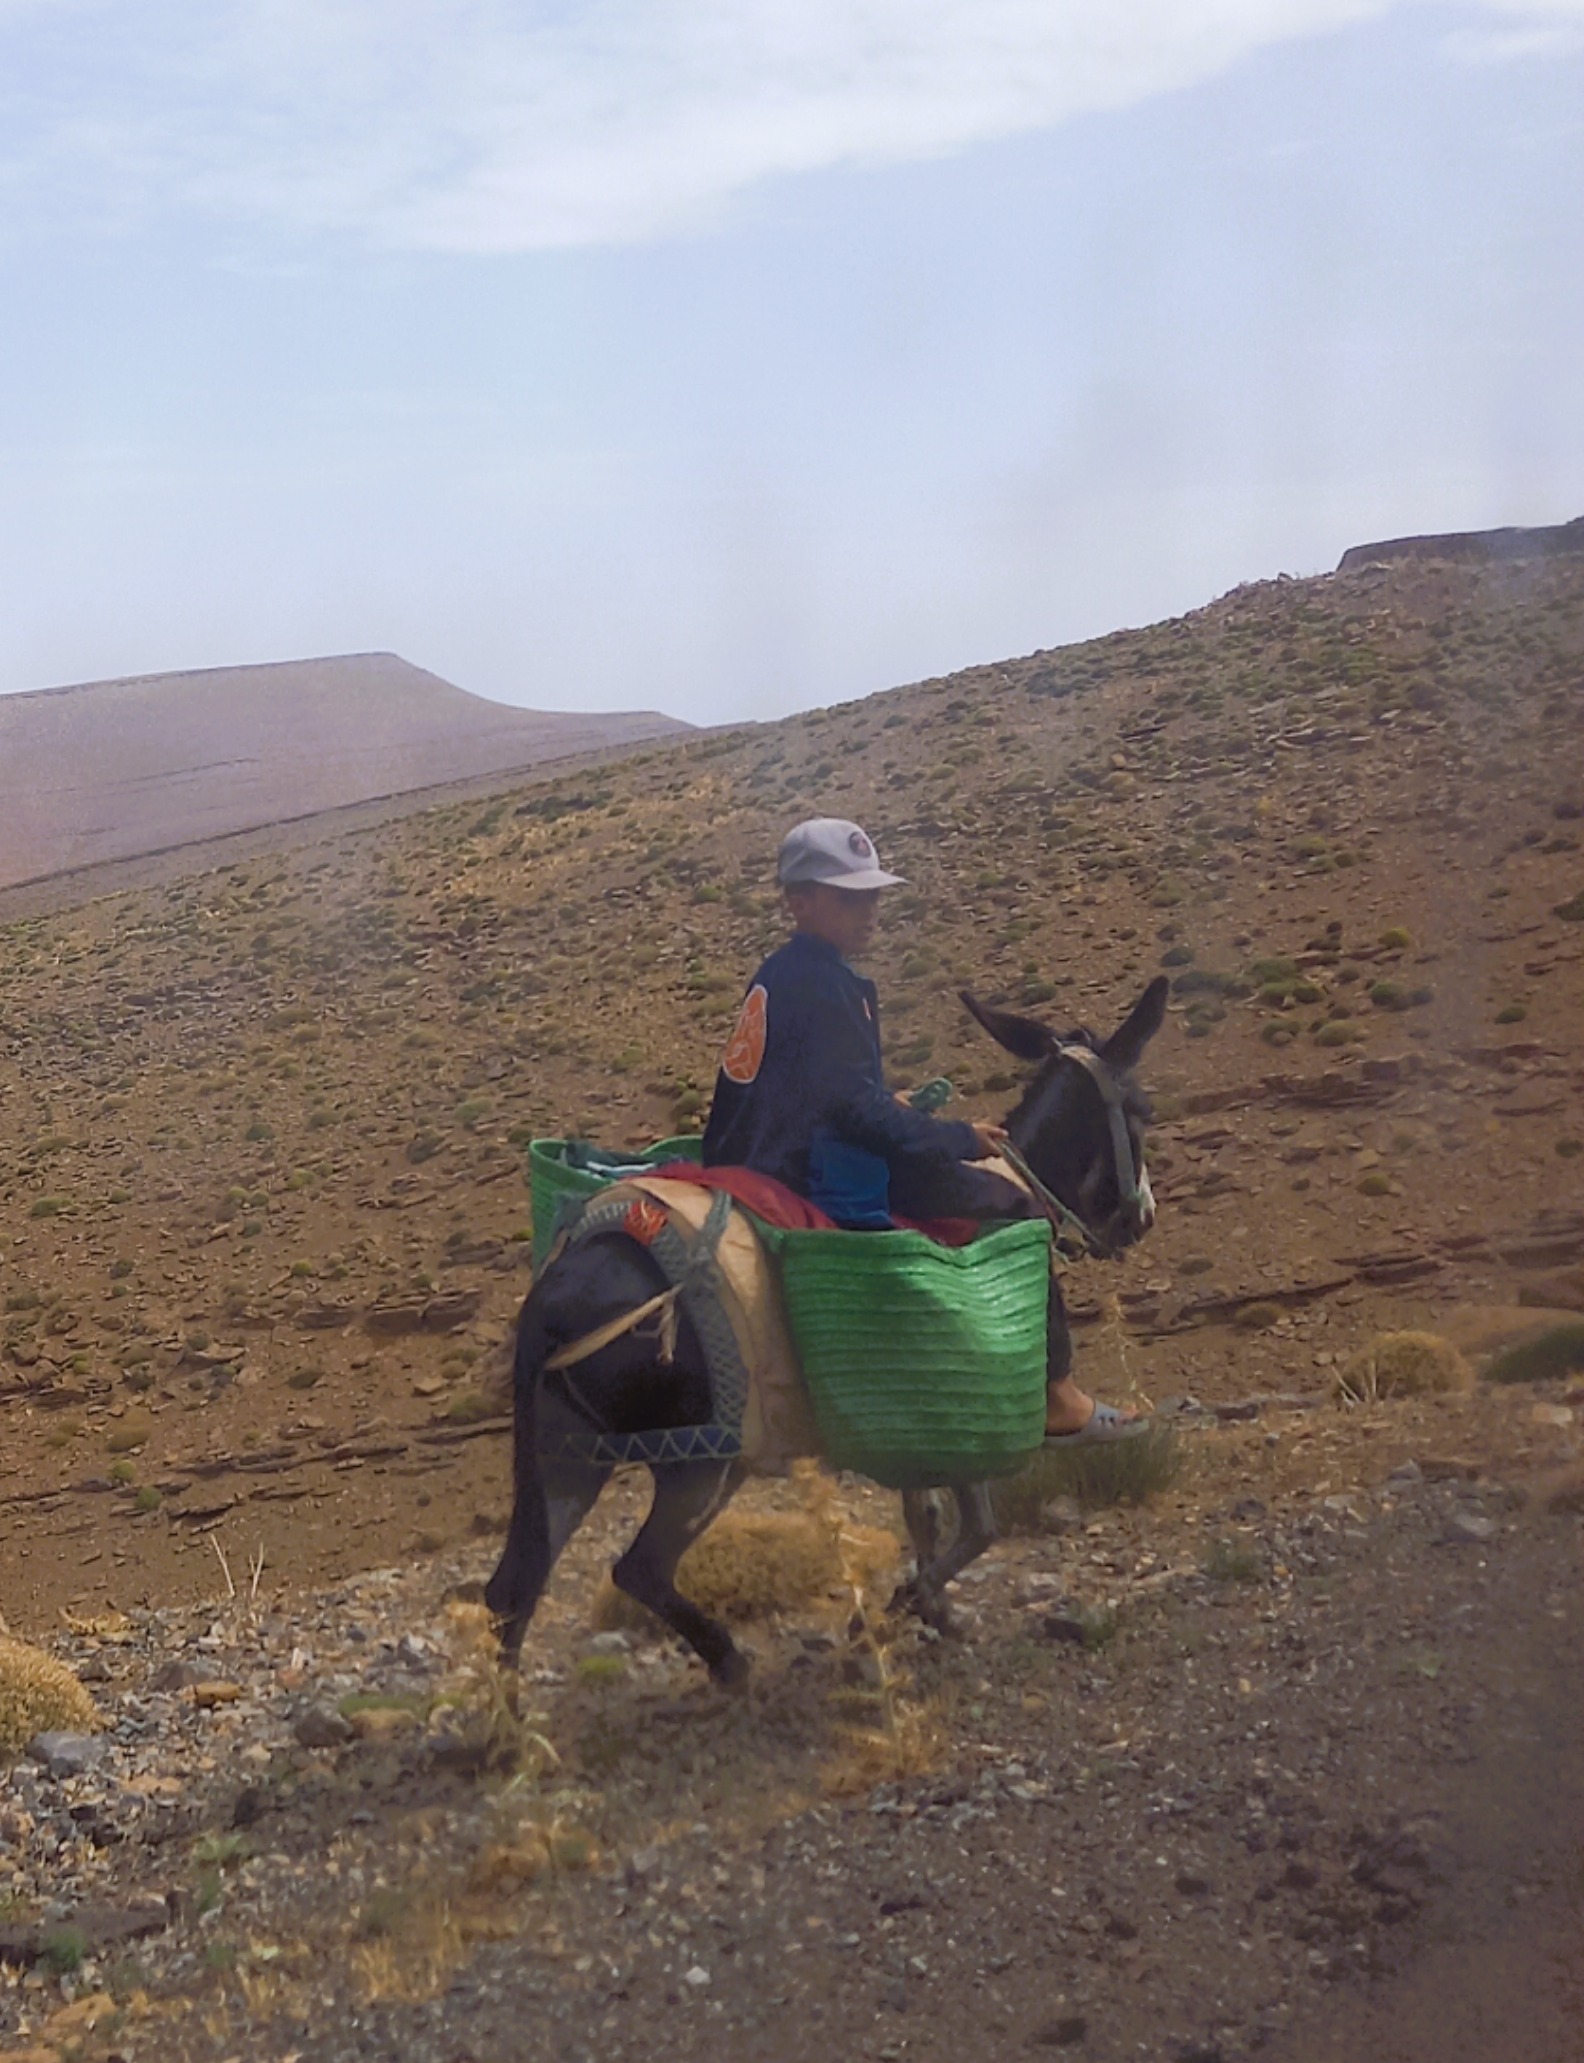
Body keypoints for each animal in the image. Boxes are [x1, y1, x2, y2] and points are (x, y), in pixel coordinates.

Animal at [484, 974, 1168, 1687]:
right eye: (1142, 1110)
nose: (1142, 1217)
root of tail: (559, 1296)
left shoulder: (917, 1429)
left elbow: (926, 1517)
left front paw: (931, 1612)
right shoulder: (968, 1410)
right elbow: (977, 1529)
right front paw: (884, 1620)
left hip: (567, 1454)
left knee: (515, 1588)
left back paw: (511, 1717)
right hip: (700, 1463)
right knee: (637, 1567)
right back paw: (731, 1664)